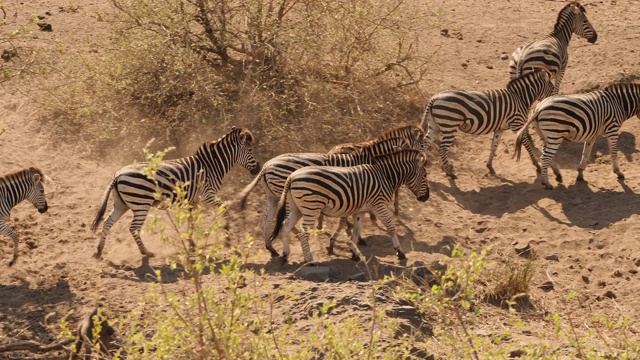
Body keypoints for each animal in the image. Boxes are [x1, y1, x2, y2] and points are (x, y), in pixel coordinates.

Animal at [90, 126, 260, 258]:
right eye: (250, 150)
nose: (258, 169)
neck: (212, 166)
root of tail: (117, 175)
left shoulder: (194, 200)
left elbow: (192, 220)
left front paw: (191, 243)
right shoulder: (207, 194)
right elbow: (224, 209)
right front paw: (227, 239)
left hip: (122, 204)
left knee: (107, 222)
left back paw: (99, 251)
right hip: (141, 203)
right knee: (133, 228)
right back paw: (146, 252)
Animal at [235, 136, 410, 256]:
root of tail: (266, 165)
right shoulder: (354, 190)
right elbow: (348, 218)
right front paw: (354, 235)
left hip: (274, 195)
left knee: (269, 219)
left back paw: (271, 247)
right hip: (283, 193)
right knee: (285, 219)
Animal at [268, 149, 428, 264]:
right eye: (425, 175)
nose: (426, 198)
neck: (385, 176)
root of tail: (291, 177)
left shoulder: (360, 210)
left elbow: (356, 231)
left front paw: (354, 252)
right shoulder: (379, 204)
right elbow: (391, 227)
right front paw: (400, 252)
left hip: (296, 207)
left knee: (285, 225)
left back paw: (285, 255)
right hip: (311, 207)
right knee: (303, 232)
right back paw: (309, 259)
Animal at [422, 68, 552, 179]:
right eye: (552, 87)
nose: (551, 102)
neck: (520, 98)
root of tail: (434, 98)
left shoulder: (500, 128)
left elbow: (494, 146)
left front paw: (489, 166)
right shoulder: (517, 123)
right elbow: (527, 144)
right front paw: (537, 165)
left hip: (434, 126)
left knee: (424, 143)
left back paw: (423, 165)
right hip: (449, 126)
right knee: (442, 149)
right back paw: (450, 173)